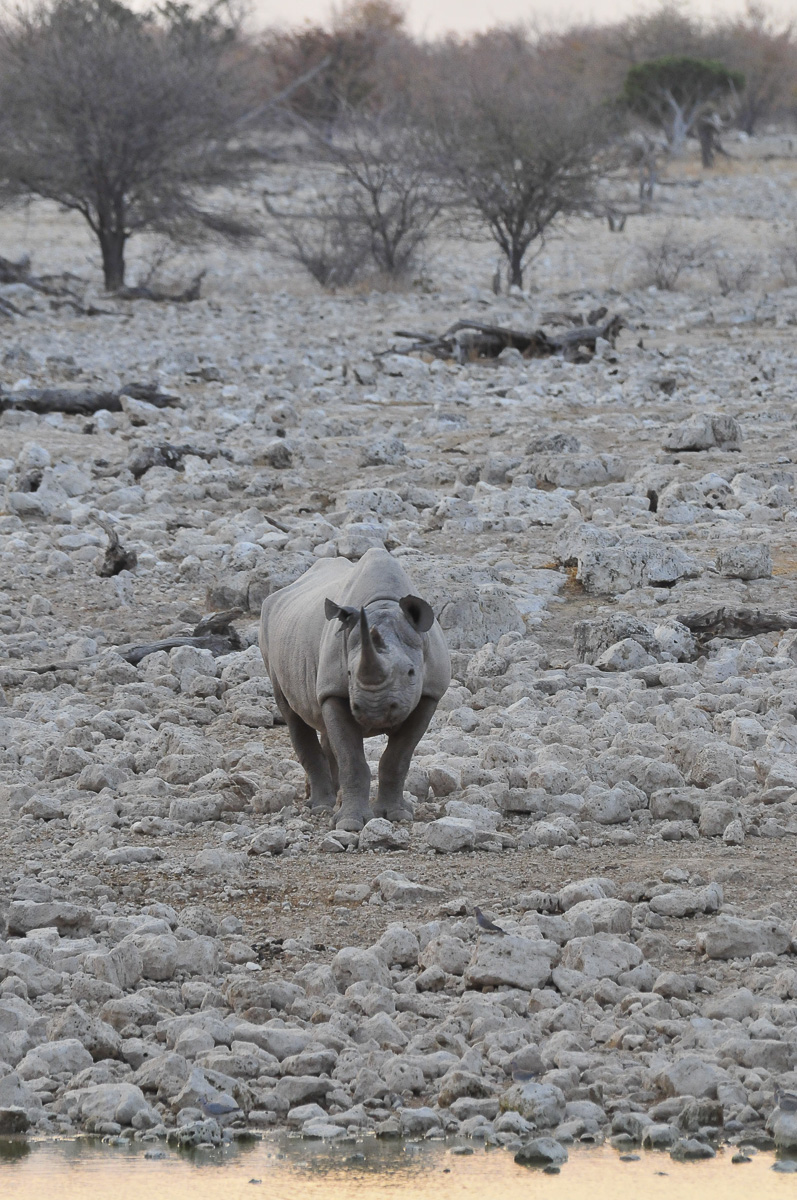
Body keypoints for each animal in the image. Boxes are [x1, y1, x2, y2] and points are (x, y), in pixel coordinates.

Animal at [260, 547, 451, 831]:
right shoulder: (334, 691)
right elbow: (352, 759)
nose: (374, 710)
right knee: (291, 713)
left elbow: (397, 757)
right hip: (269, 633)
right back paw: (321, 806)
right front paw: (350, 824)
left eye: (411, 673)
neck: (383, 604)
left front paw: (397, 815)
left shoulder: (430, 694)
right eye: (349, 674)